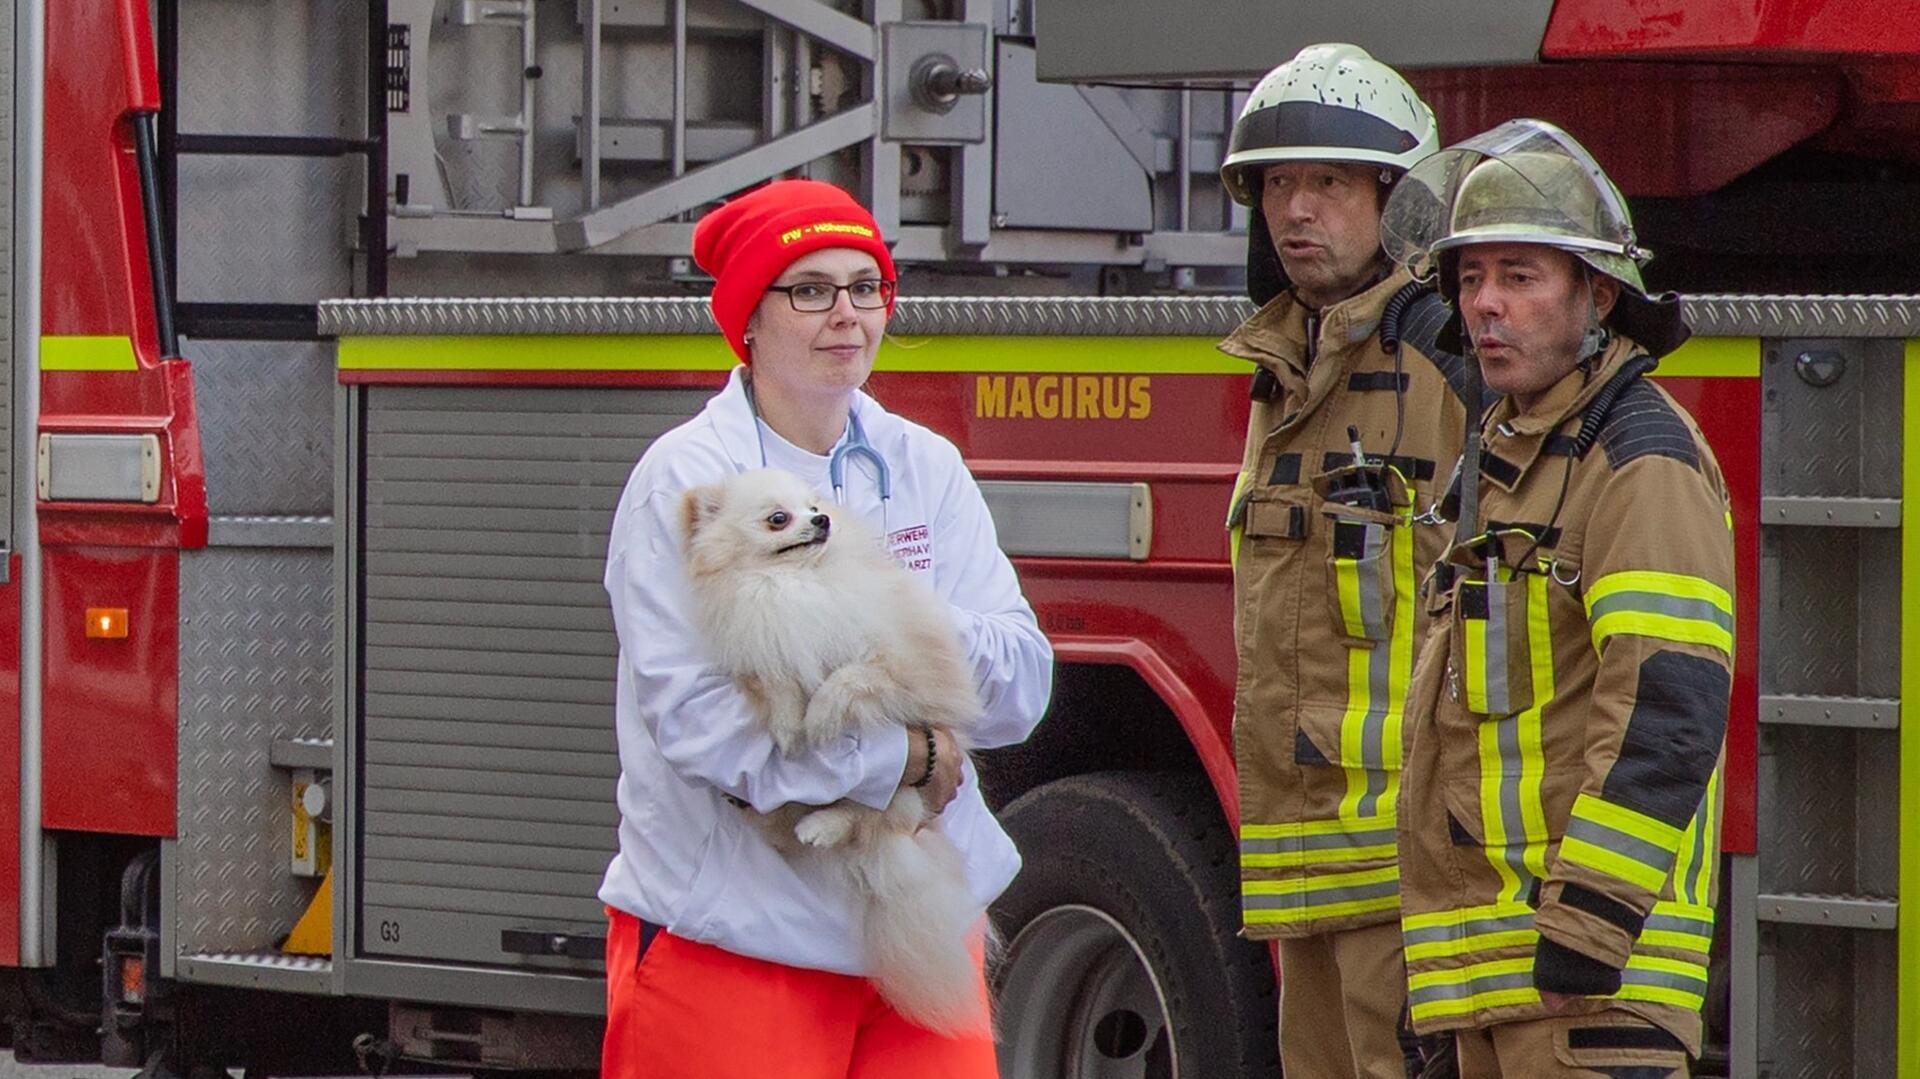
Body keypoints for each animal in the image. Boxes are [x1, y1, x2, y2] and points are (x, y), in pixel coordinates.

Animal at [683, 466, 990, 1029]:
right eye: (778, 518)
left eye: (814, 506)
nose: (823, 521)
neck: (796, 585)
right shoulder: (761, 648)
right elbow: (779, 684)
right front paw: (788, 727)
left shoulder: (893, 662)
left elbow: (847, 680)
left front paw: (821, 718)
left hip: (905, 791)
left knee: (868, 817)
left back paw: (822, 825)